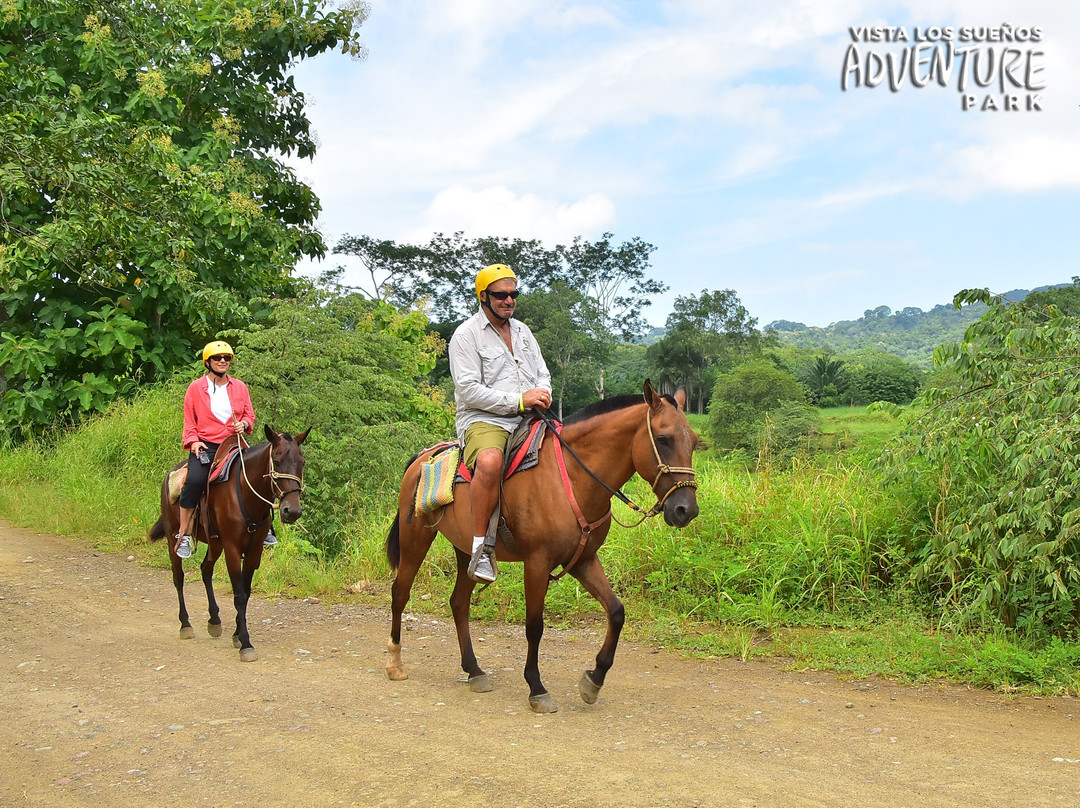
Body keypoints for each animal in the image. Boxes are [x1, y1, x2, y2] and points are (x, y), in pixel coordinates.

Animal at [149, 425, 308, 661]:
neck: (245, 493)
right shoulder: (232, 548)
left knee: (205, 570)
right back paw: (185, 624)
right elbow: (239, 594)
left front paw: (237, 635)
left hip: (215, 543)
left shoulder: (254, 550)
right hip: (173, 539)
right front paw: (245, 643)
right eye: (277, 460)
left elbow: (246, 591)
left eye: (302, 462)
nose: (292, 510)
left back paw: (214, 620)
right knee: (178, 577)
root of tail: (170, 474)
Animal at [388, 380, 699, 712]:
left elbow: (616, 612)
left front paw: (594, 680)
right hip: (415, 538)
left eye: (694, 442)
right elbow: (535, 626)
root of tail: (421, 459)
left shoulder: (583, 560)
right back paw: (395, 662)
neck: (572, 479)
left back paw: (474, 670)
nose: (686, 510)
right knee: (400, 593)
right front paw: (536, 687)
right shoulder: (537, 563)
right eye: (664, 439)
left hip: (465, 552)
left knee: (459, 603)